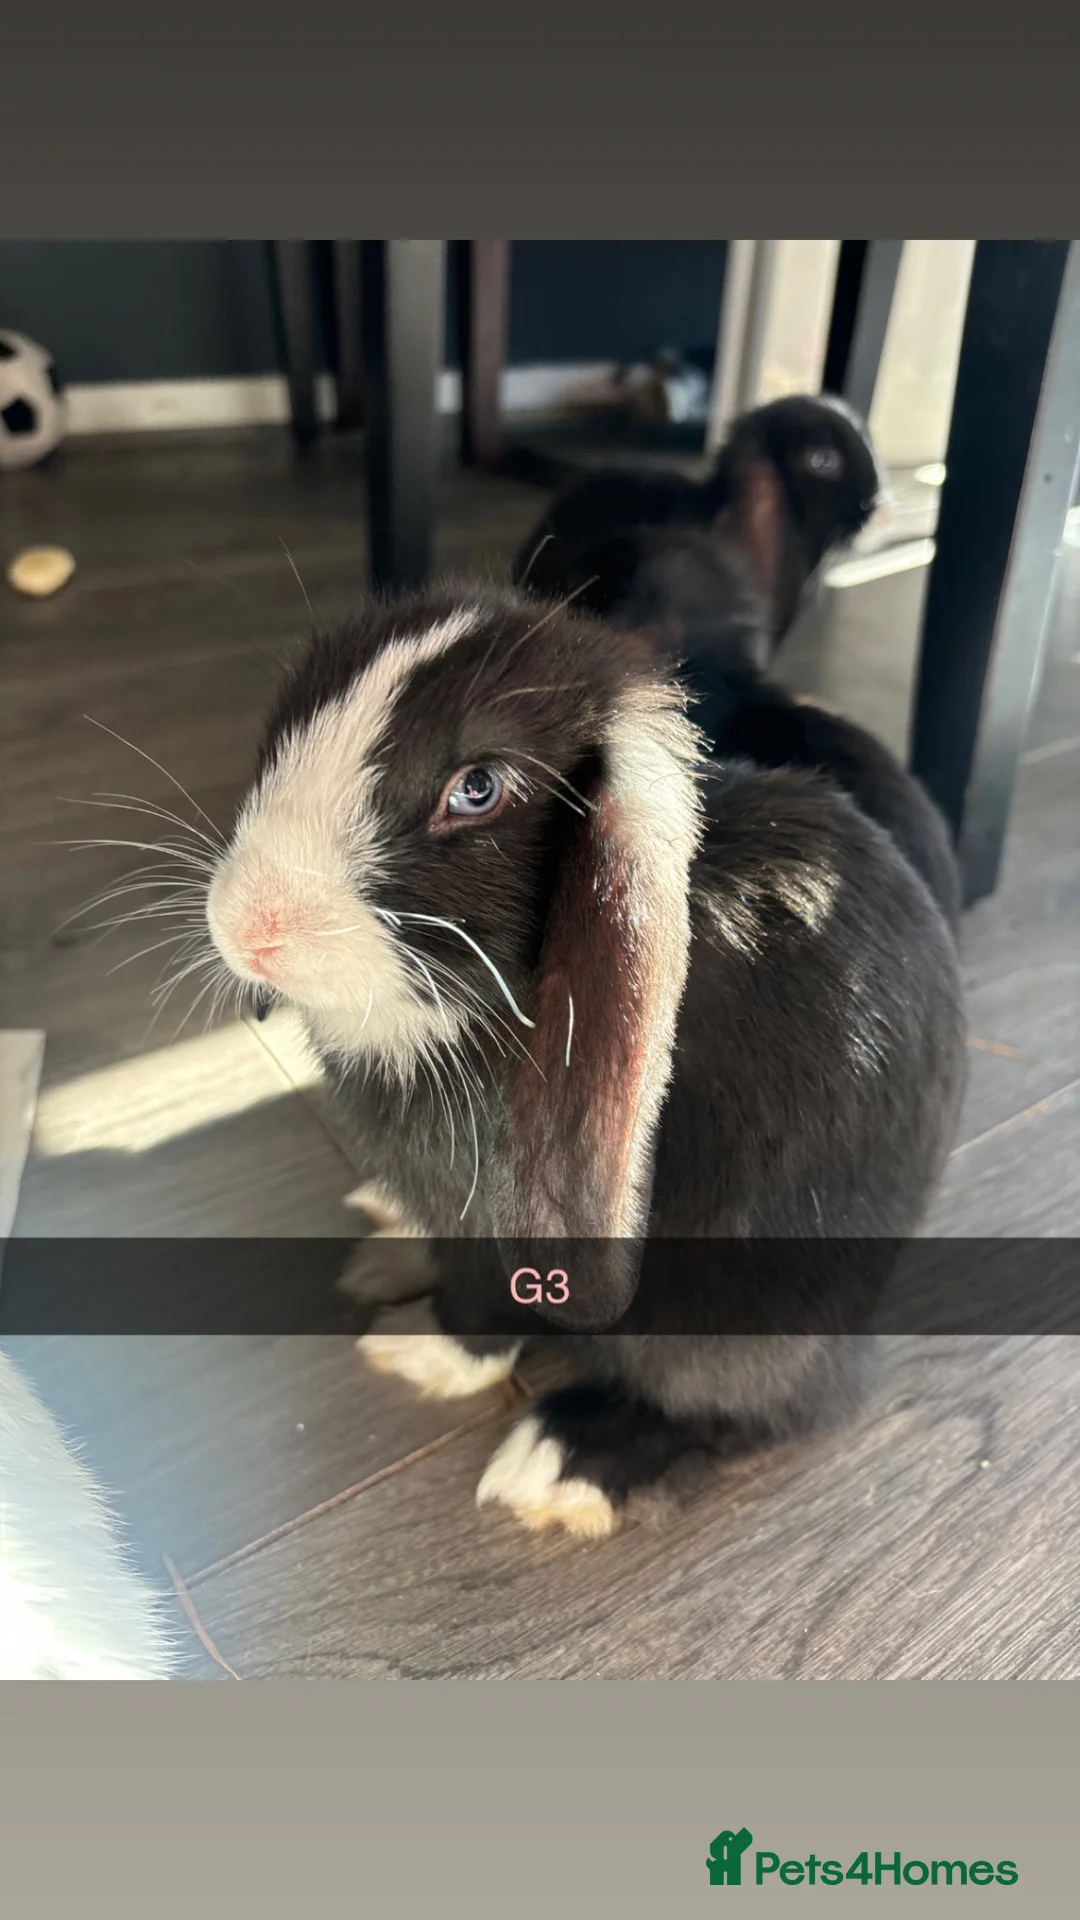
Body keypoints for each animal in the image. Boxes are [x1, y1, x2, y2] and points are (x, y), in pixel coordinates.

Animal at [201, 581, 967, 1540]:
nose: (249, 926)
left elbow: (486, 1304)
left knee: (747, 1409)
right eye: (291, 713)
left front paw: (415, 1354)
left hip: (733, 1311)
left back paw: (564, 1464)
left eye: (477, 789)